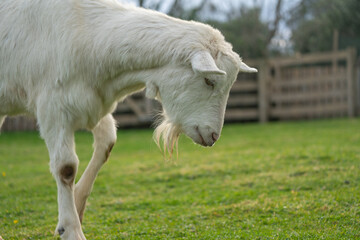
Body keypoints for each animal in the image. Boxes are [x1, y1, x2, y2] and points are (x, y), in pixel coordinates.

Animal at [0, 0, 256, 239]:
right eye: (208, 81)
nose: (213, 135)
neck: (88, 32)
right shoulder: (53, 107)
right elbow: (66, 168)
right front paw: (71, 230)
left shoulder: (94, 103)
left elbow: (106, 144)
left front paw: (78, 204)